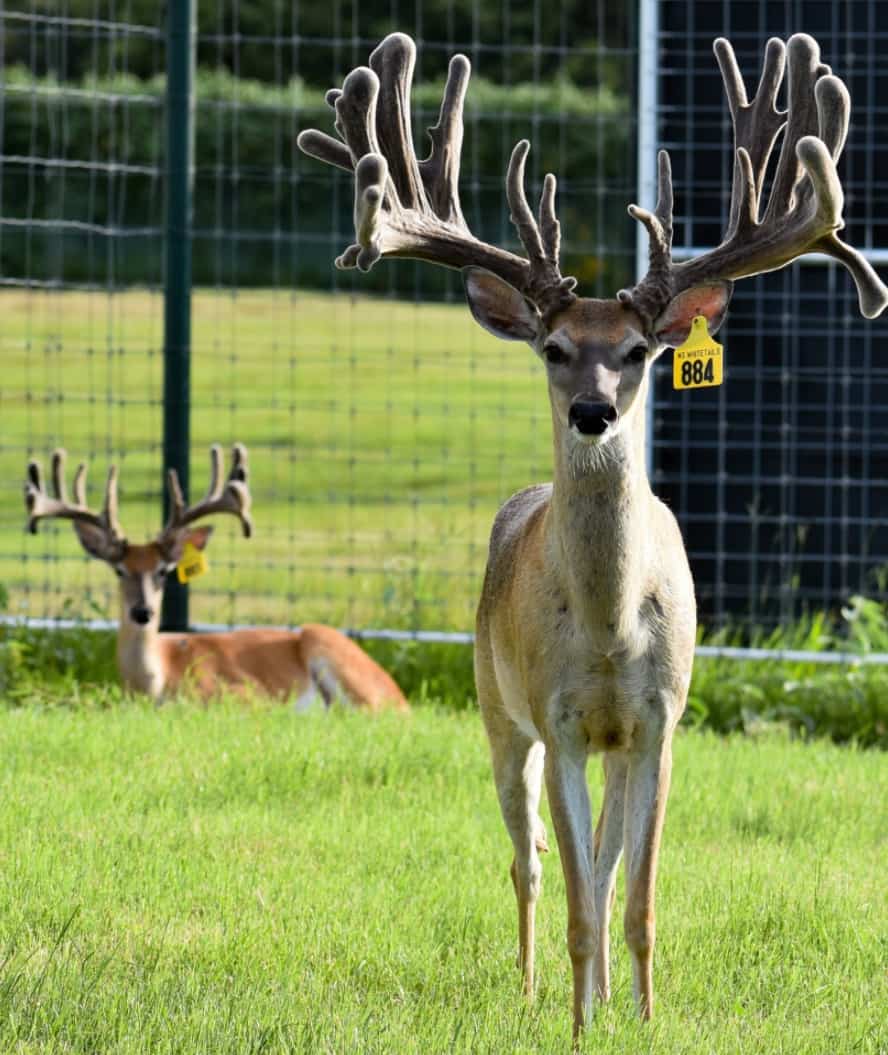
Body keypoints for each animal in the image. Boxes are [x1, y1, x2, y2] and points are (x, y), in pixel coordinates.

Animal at [25, 444, 409, 712]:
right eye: (119, 570)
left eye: (163, 571)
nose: (143, 612)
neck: (156, 682)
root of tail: (400, 697)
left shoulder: (243, 692)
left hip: (327, 645)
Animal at [298, 31, 887, 1038]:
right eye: (553, 347)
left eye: (640, 351)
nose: (592, 411)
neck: (612, 628)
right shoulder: (561, 719)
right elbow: (573, 891)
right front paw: (575, 1024)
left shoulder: (660, 720)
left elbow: (636, 892)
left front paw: (643, 1018)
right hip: (497, 711)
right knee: (528, 859)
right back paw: (535, 986)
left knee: (604, 861)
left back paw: (607, 992)